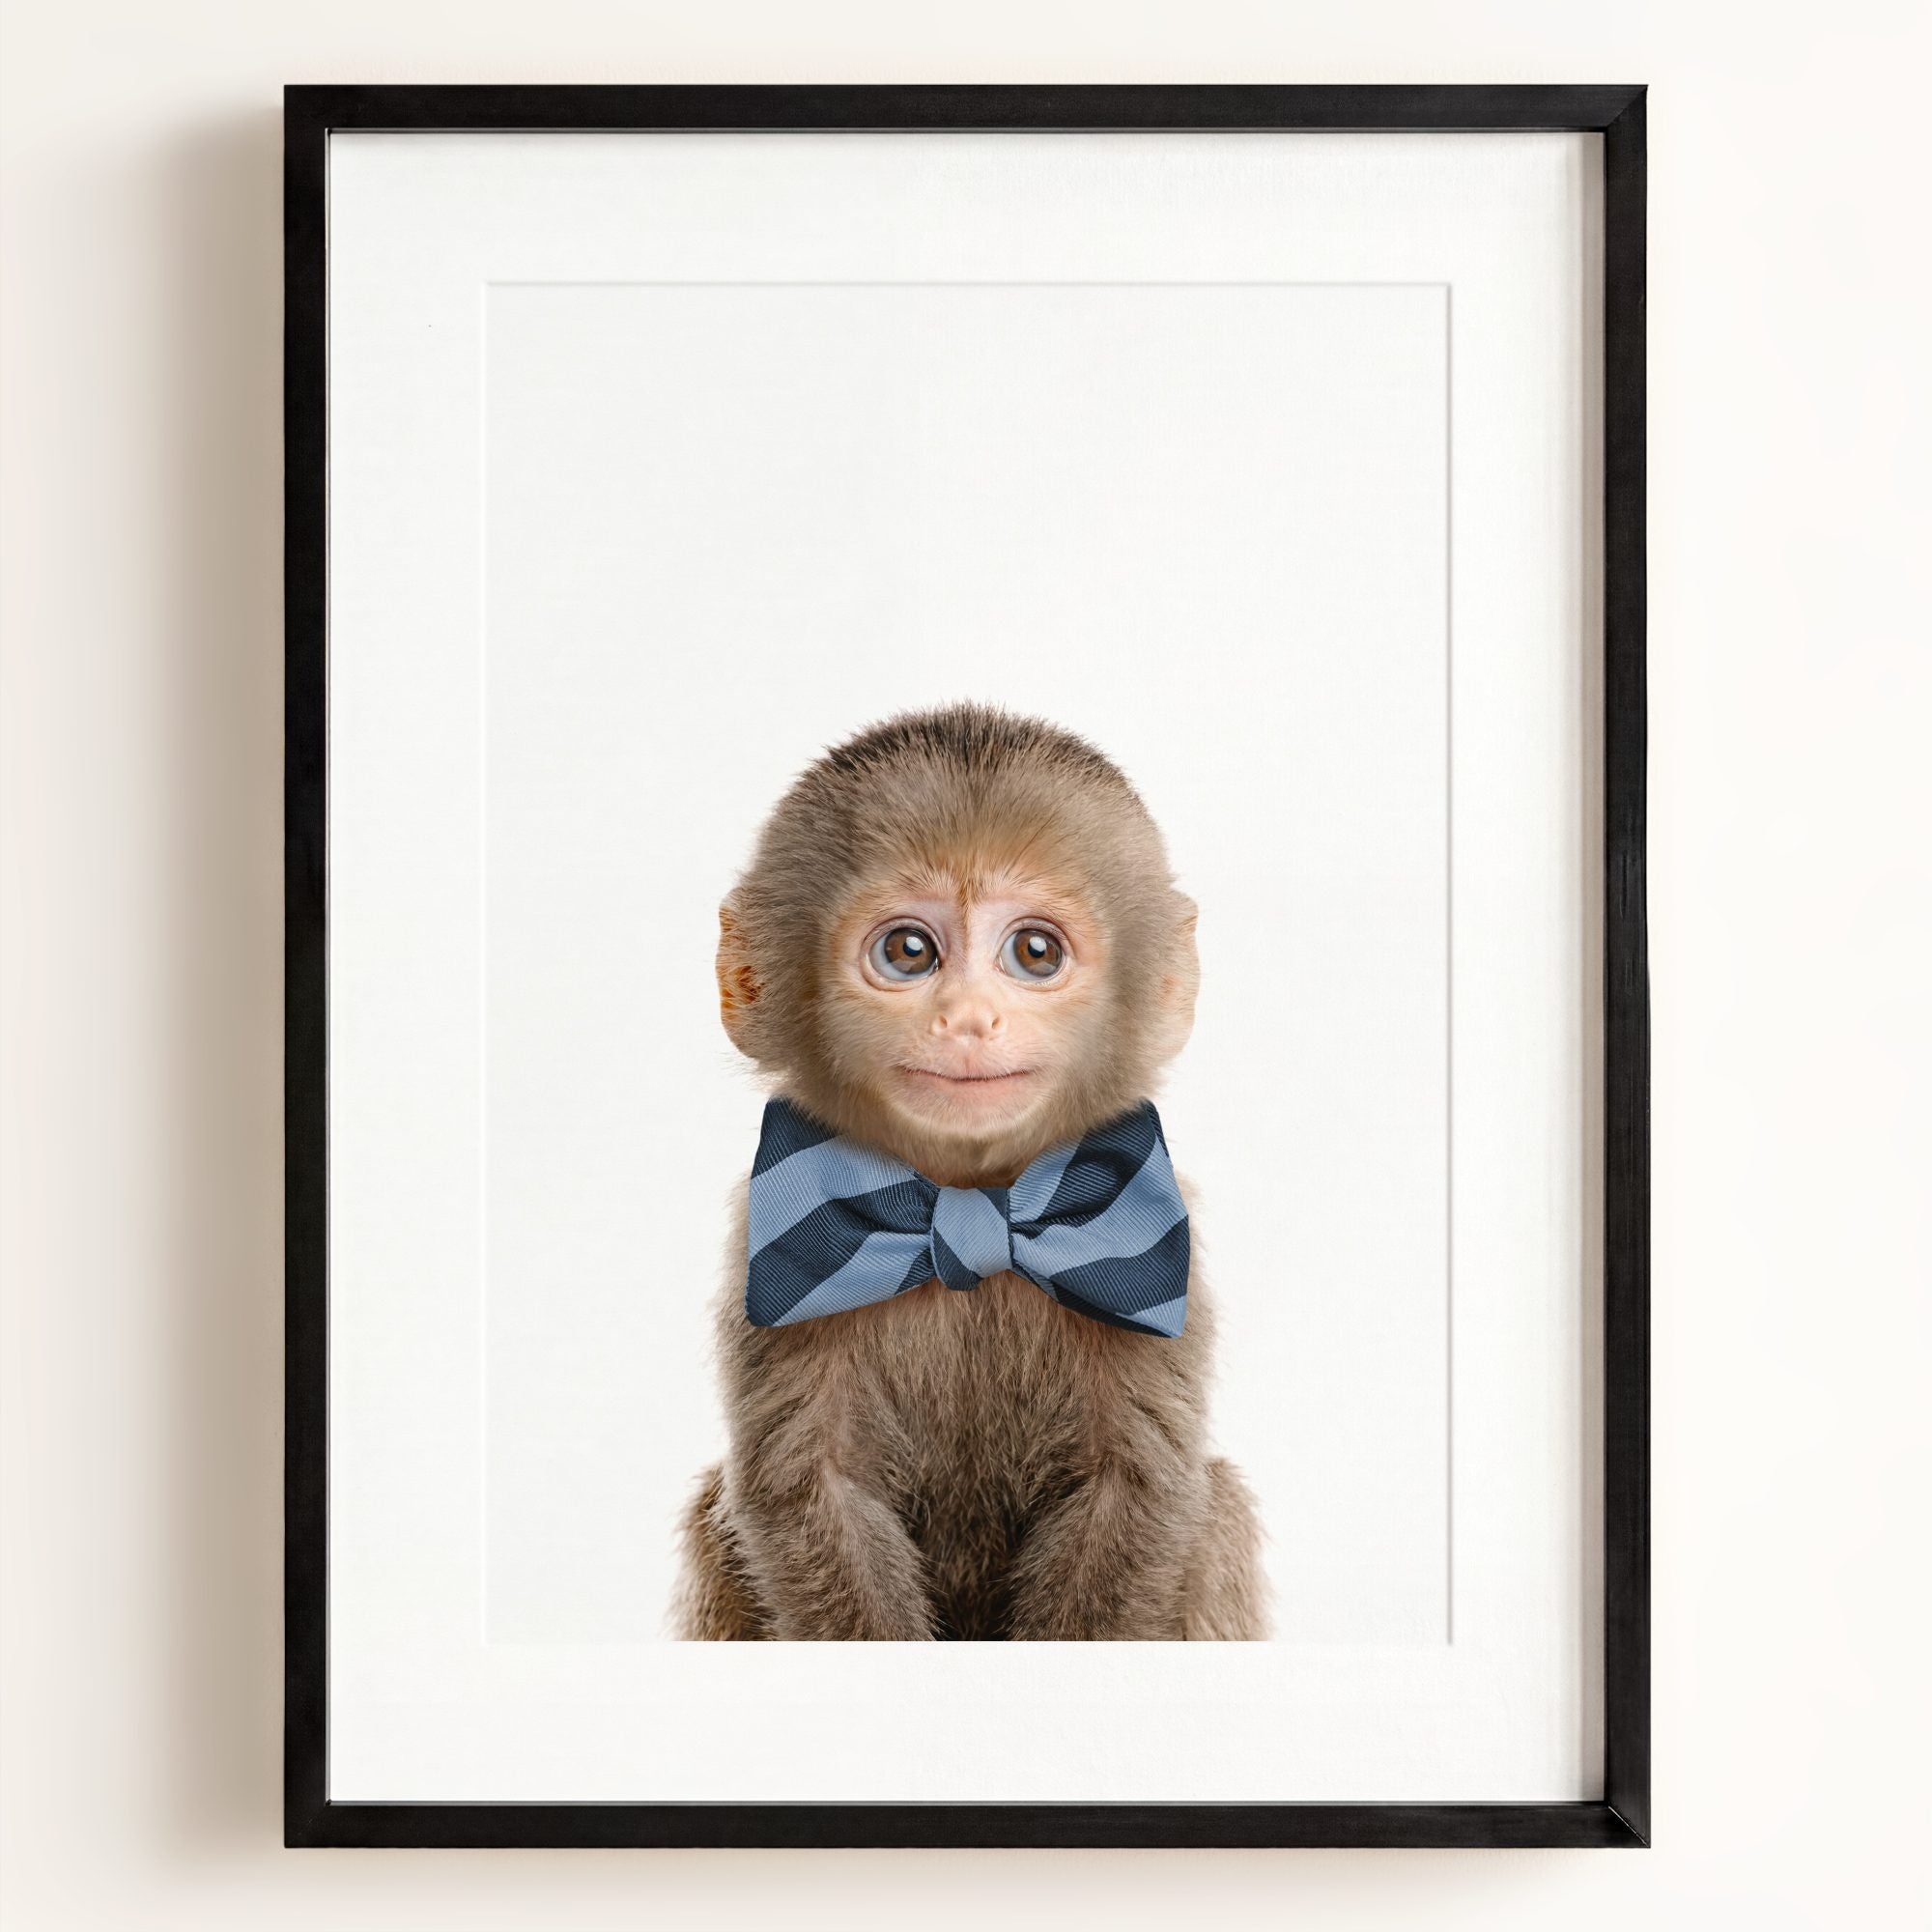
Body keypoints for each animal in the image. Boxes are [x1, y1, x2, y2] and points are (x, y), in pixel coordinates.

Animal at [674, 703, 1267, 1641]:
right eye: (910, 952)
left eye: (1035, 952)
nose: (968, 1019)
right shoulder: (766, 1247)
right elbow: (812, 1492)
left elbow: (1137, 1490)